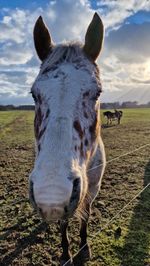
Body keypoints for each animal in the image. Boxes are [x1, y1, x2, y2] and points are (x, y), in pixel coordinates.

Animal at [29, 13, 106, 266]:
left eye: (97, 92)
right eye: (34, 94)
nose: (50, 194)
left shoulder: (92, 189)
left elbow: (85, 216)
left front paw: (84, 247)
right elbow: (63, 222)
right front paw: (65, 252)